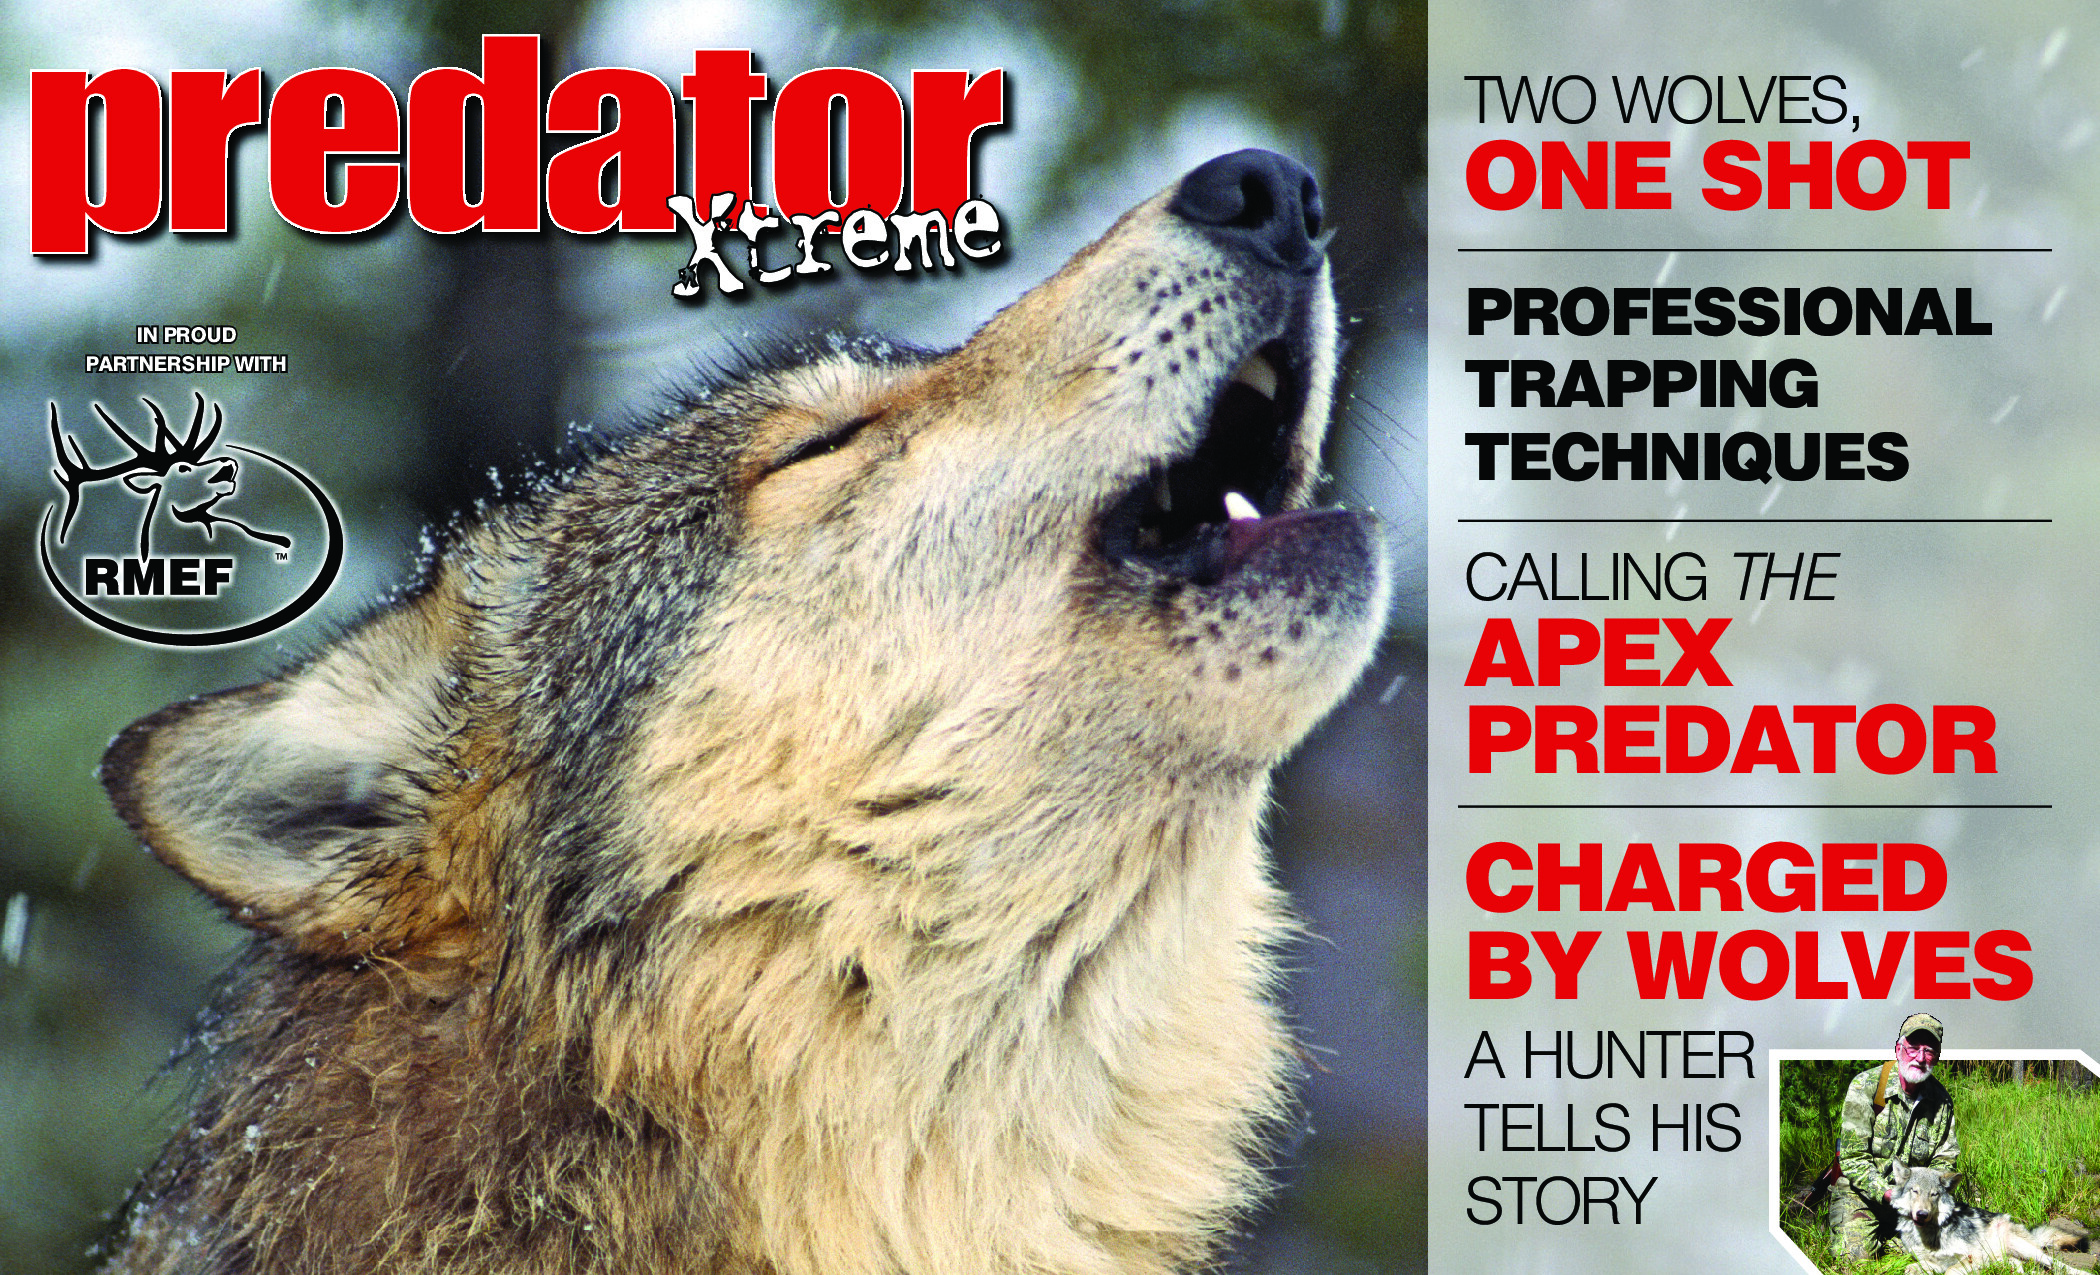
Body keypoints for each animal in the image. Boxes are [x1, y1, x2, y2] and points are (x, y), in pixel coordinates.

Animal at [1887, 1163, 2085, 1274]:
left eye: (1934, 1194)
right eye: (1915, 1191)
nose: (1922, 1214)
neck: (1929, 1235)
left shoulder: (1973, 1256)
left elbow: (1951, 1271)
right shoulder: (1931, 1262)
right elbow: (1913, 1267)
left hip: (2026, 1250)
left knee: (2057, 1264)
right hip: (2001, 1257)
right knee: (2020, 1266)